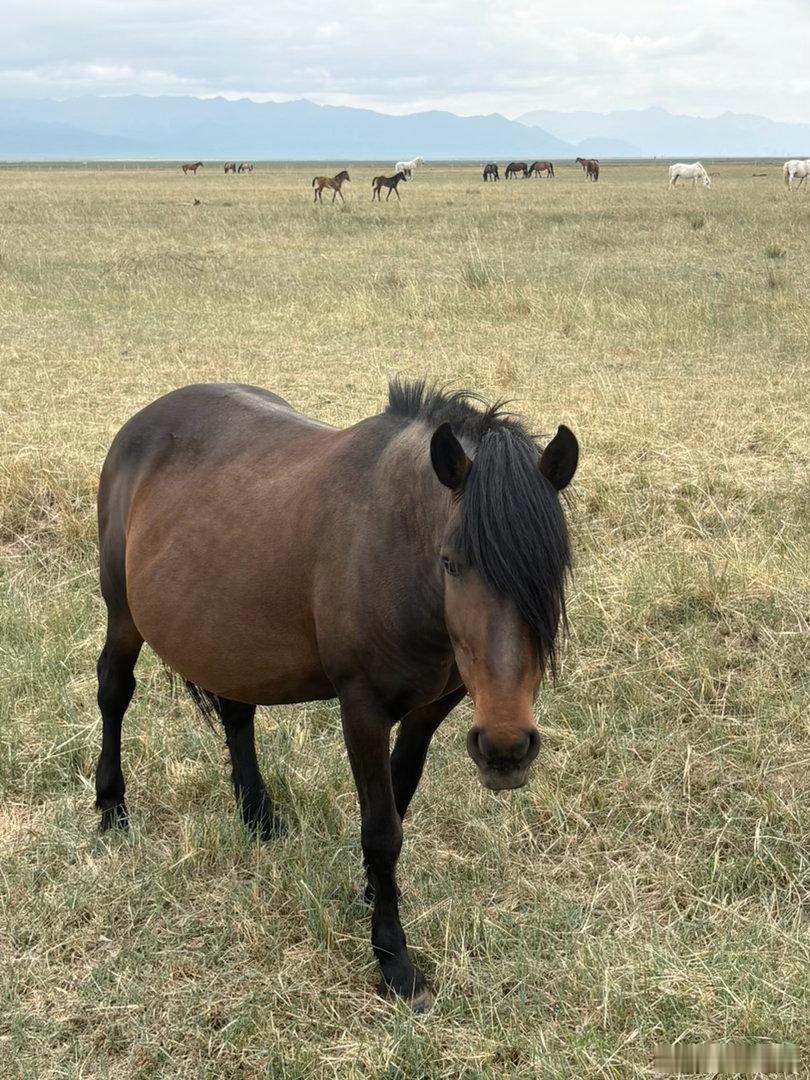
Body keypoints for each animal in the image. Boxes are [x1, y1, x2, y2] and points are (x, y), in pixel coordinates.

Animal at [93, 379, 578, 1007]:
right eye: (451, 563)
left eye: (552, 570)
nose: (505, 749)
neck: (396, 549)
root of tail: (142, 422)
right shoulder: (363, 709)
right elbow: (382, 828)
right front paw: (394, 961)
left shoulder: (430, 710)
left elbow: (398, 799)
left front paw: (371, 895)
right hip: (123, 615)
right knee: (114, 692)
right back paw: (111, 808)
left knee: (237, 713)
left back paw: (258, 817)